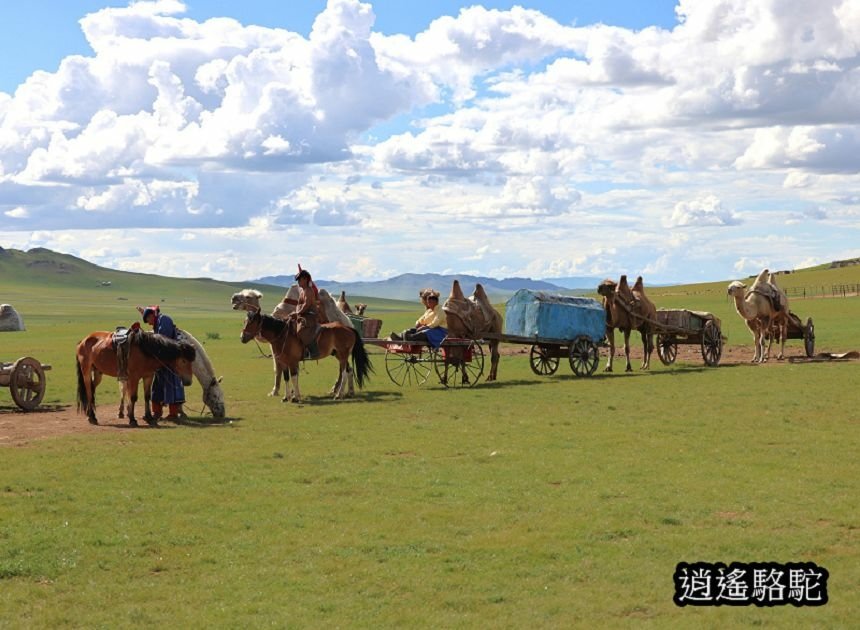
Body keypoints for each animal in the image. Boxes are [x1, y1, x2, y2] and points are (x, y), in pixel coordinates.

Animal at [239, 312, 372, 404]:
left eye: (251, 322)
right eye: (244, 321)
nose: (242, 337)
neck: (282, 336)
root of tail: (349, 328)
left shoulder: (292, 362)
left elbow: (293, 378)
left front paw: (296, 397)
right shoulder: (284, 362)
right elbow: (286, 378)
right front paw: (286, 397)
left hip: (343, 355)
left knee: (344, 372)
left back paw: (338, 395)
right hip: (339, 355)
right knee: (349, 371)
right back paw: (349, 392)